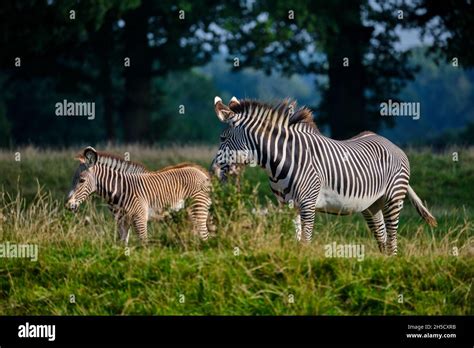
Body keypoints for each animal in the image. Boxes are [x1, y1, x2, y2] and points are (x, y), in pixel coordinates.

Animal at [65, 147, 212, 245]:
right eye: (72, 180)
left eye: (81, 180)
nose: (67, 205)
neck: (118, 191)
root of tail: (202, 173)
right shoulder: (121, 222)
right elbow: (123, 246)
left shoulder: (139, 219)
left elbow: (144, 244)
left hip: (198, 210)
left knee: (205, 236)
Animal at [212, 96, 436, 254]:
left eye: (222, 138)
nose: (213, 170)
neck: (280, 161)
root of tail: (392, 145)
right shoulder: (287, 206)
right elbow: (296, 242)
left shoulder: (308, 204)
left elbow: (305, 242)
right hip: (372, 205)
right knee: (382, 239)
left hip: (393, 199)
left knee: (392, 240)